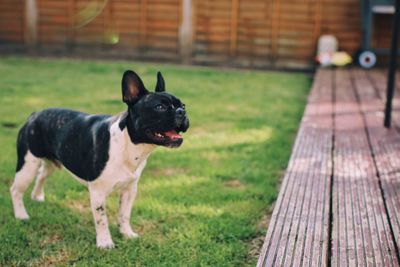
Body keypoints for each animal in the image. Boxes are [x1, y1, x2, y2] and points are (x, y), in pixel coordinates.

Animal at [9, 70, 190, 249]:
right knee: (16, 189)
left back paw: (37, 197)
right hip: (28, 165)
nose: (182, 112)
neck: (129, 143)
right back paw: (21, 215)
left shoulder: (130, 189)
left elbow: (124, 214)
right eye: (160, 107)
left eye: (183, 105)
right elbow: (102, 219)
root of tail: (34, 115)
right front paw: (105, 243)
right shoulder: (98, 192)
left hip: (51, 163)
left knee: (41, 175)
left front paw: (126, 234)